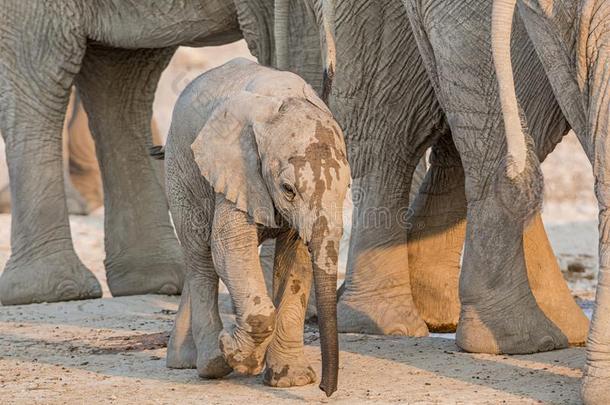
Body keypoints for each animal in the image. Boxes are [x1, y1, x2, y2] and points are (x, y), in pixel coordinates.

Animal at [162, 57, 350, 394]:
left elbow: (296, 260)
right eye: (288, 189)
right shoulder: (237, 166)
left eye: (347, 188)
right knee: (200, 257)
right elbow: (230, 247)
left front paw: (290, 380)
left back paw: (184, 360)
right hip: (181, 171)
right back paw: (211, 362)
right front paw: (234, 352)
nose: (325, 390)